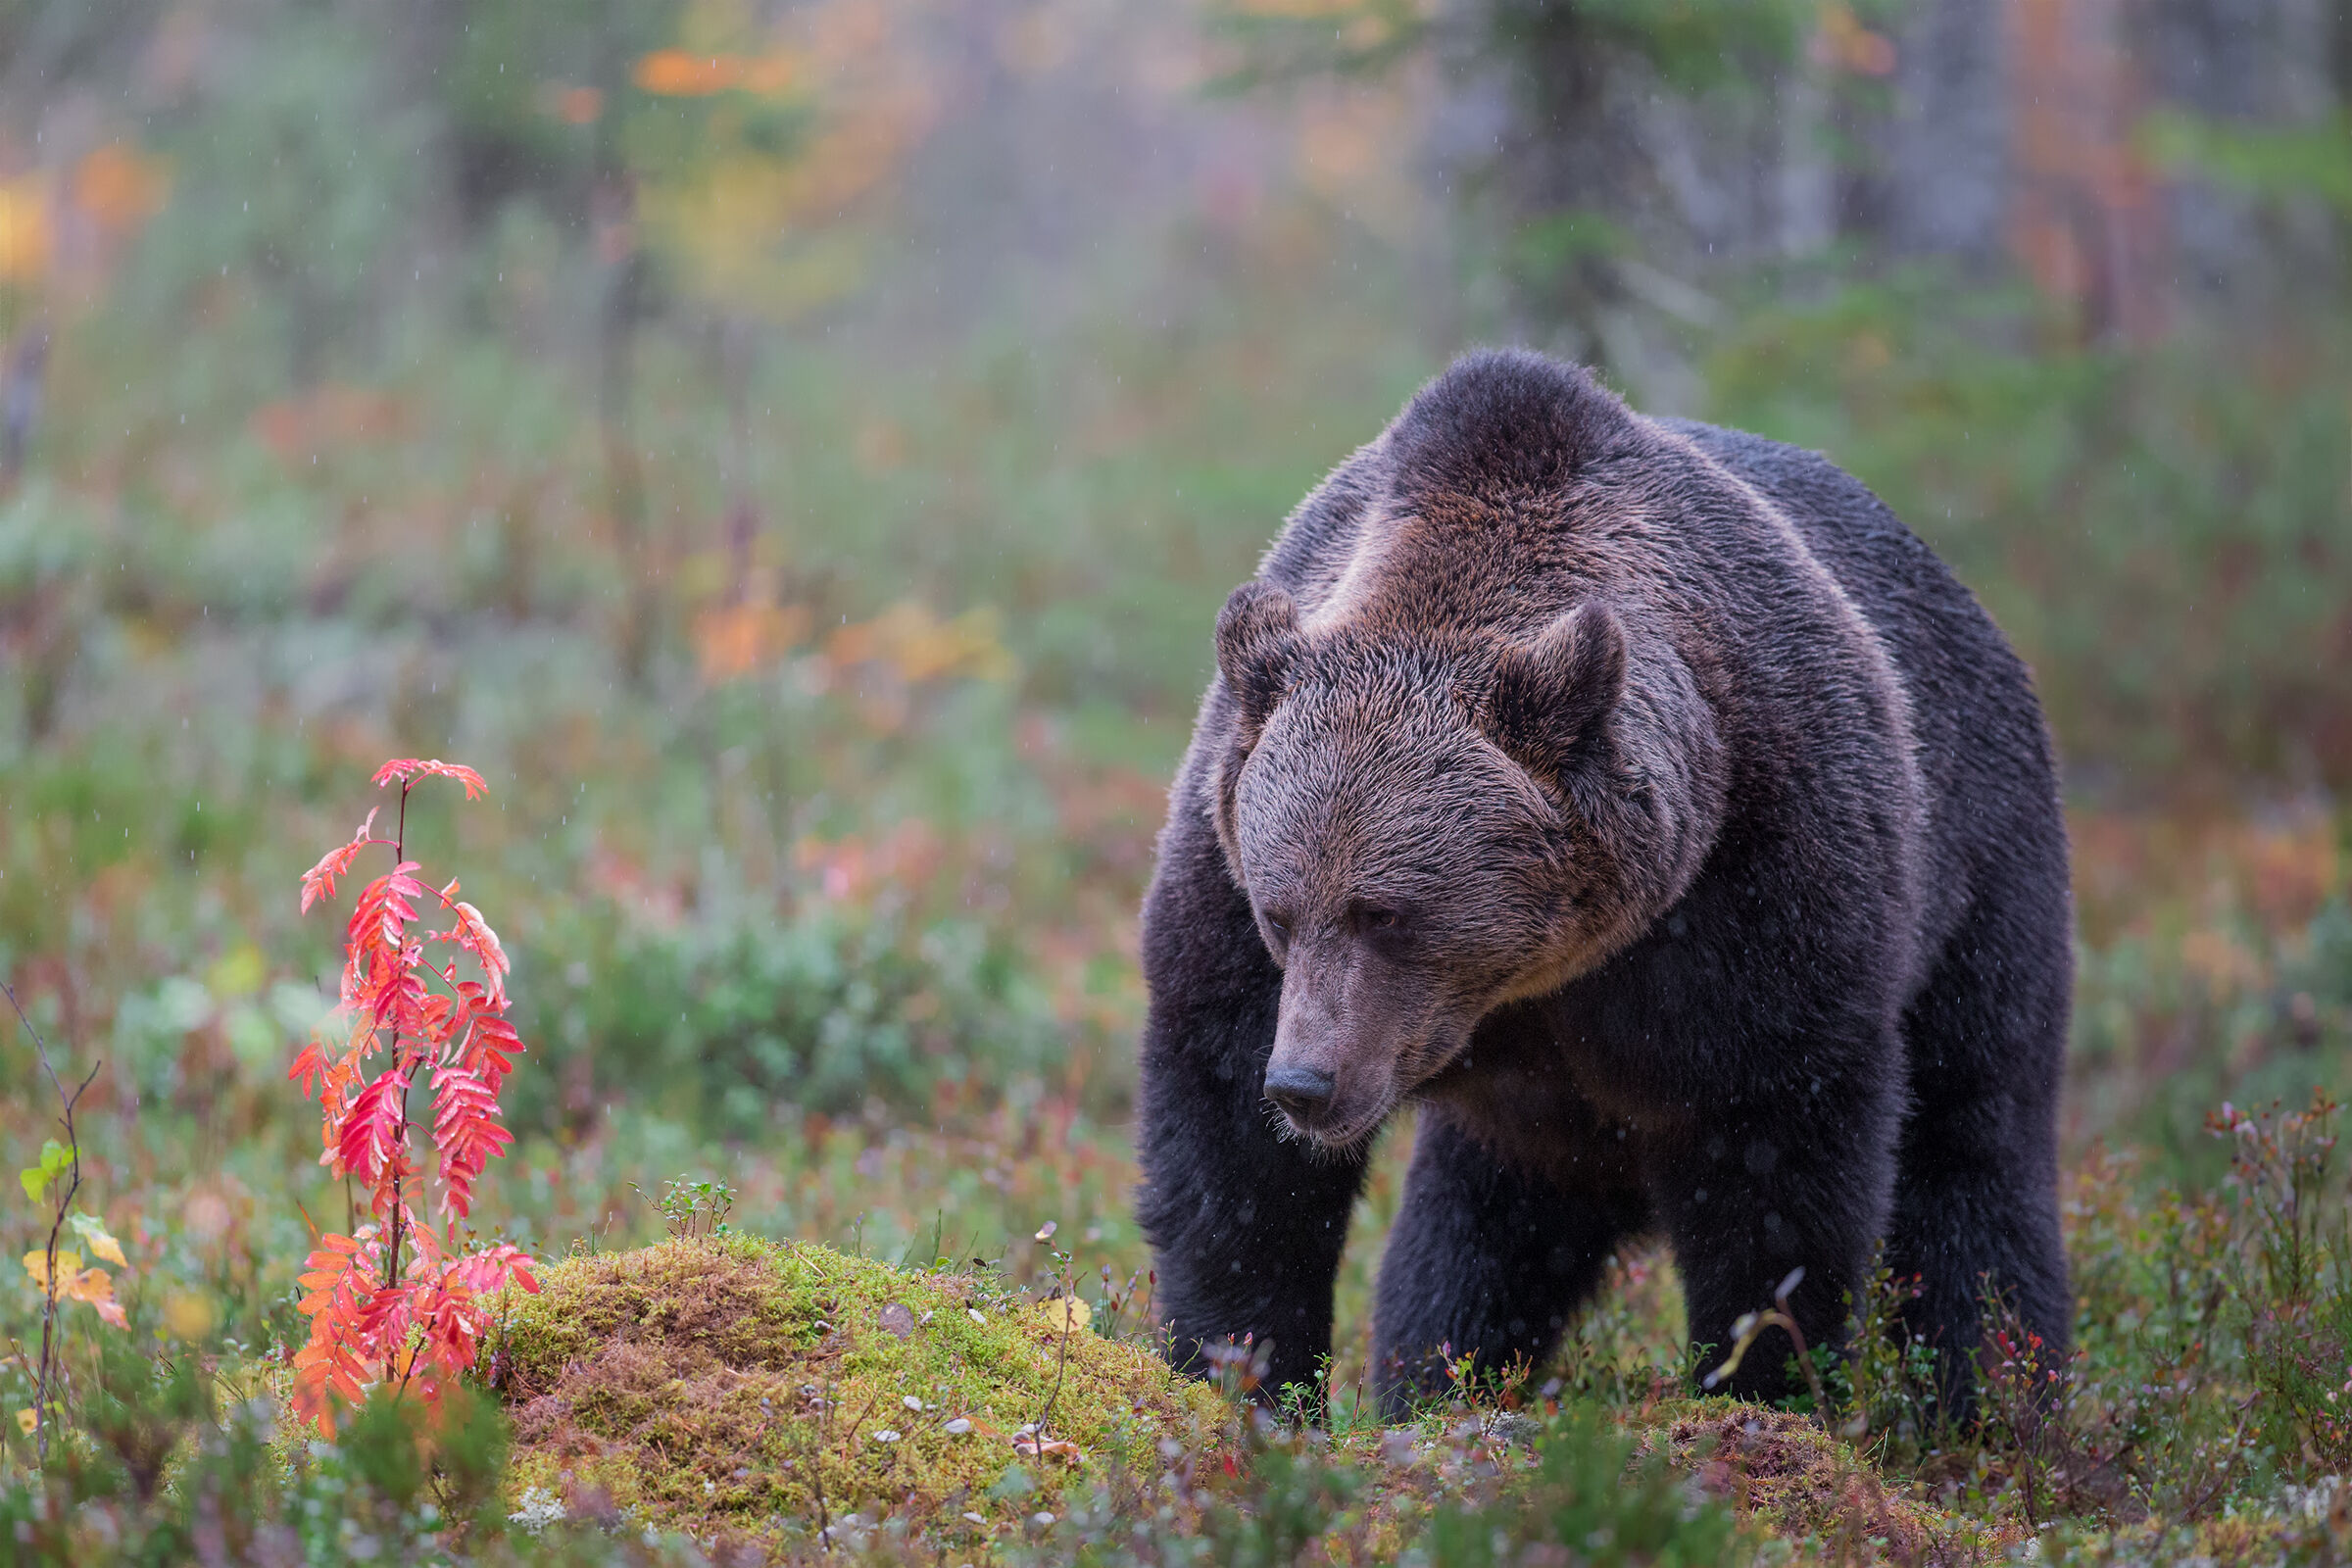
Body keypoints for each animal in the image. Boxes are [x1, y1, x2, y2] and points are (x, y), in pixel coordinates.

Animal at [1134, 348, 2072, 1421]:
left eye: (1388, 913)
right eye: (1280, 913)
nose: (1306, 1083)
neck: (1541, 972)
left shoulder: (1767, 883)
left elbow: (1778, 1169)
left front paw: (1760, 1381)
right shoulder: (1227, 884)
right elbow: (1232, 1158)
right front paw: (1242, 1371)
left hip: (1981, 869)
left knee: (1977, 1149)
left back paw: (1992, 1399)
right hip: (1537, 1128)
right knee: (1482, 1234)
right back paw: (1439, 1377)